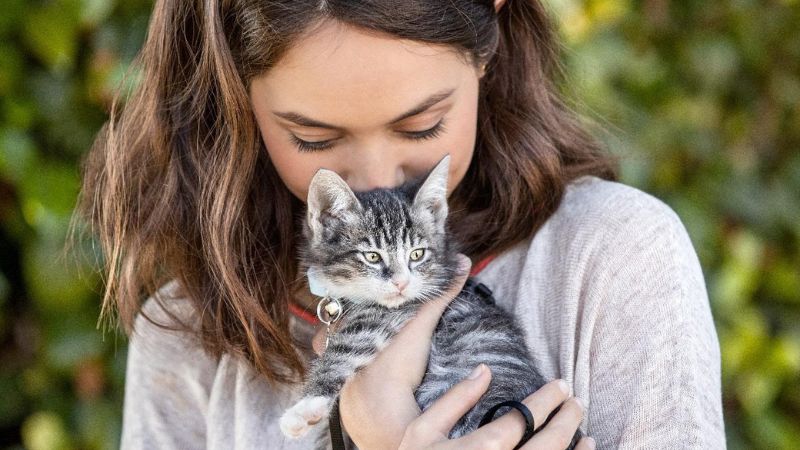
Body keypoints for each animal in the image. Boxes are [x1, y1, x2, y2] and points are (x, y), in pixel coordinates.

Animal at [282, 156, 580, 448]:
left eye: (417, 254)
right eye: (372, 257)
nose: (401, 282)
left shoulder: (392, 313)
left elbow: (346, 348)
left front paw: (306, 407)